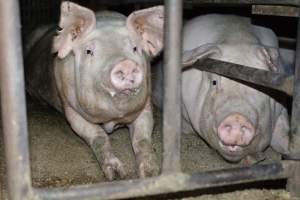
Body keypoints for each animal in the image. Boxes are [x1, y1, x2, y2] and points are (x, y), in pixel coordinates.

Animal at [25, 1, 164, 180]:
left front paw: (151, 173)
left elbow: (142, 139)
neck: (112, 117)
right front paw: (116, 175)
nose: (125, 64)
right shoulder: (71, 110)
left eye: (134, 48)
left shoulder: (145, 106)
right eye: (89, 51)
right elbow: (99, 136)